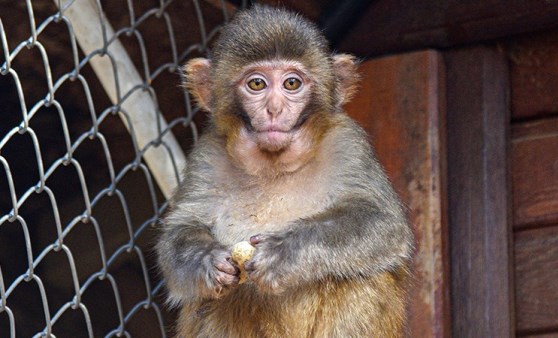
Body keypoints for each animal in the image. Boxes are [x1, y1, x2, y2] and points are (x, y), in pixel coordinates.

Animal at [158, 5, 416, 338]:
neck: (274, 166)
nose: (274, 109)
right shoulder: (207, 156)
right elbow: (179, 231)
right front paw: (205, 260)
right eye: (257, 84)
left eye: (292, 84)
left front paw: (284, 252)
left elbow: (382, 223)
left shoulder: (348, 144)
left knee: (359, 277)